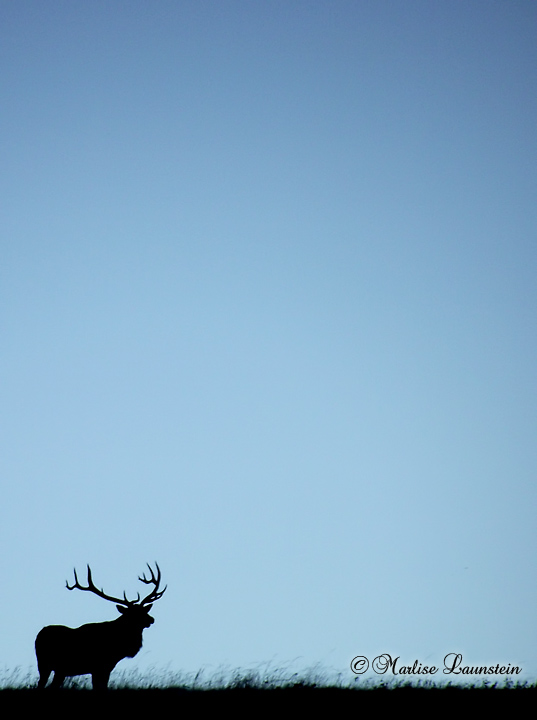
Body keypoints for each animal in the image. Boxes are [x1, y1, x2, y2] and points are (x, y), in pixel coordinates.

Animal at [35, 563, 166, 690]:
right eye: (132, 614)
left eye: (143, 610)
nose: (151, 619)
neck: (120, 649)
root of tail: (38, 635)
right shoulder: (98, 667)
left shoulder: (105, 668)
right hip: (44, 663)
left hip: (60, 670)